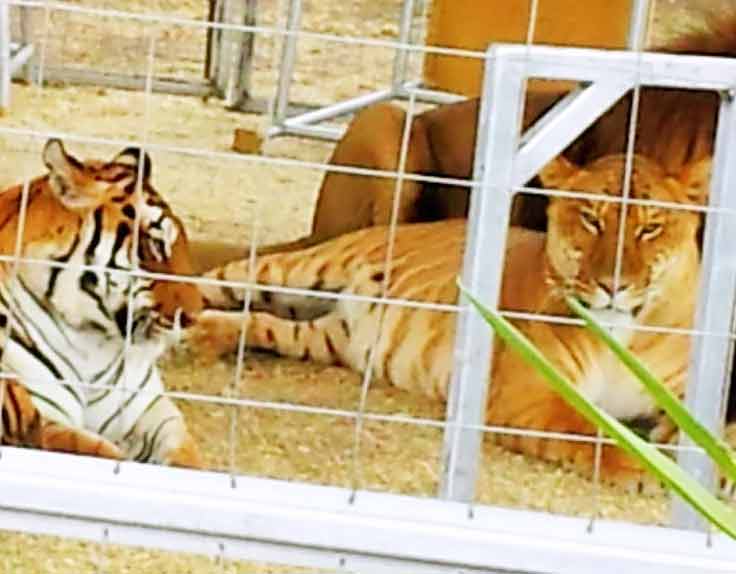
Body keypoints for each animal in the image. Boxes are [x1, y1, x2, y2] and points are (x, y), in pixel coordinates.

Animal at [0, 140, 204, 468]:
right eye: (154, 244)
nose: (195, 316)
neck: (92, 343)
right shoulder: (46, 420)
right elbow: (103, 452)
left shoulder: (152, 411)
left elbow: (187, 456)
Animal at [188, 155, 708, 488]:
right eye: (590, 219)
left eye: (651, 227)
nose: (613, 284)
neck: (624, 331)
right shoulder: (529, 399)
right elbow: (591, 431)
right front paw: (643, 470)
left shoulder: (685, 398)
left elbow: (712, 436)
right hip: (295, 269)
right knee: (204, 282)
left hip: (324, 336)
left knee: (263, 322)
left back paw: (205, 335)